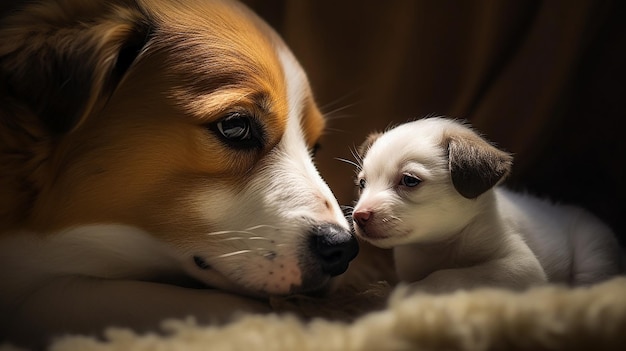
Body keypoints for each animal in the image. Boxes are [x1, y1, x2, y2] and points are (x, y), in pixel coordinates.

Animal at [348, 117, 620, 294]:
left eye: (409, 180)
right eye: (362, 183)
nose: (359, 216)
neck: (439, 245)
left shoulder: (521, 266)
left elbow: (452, 274)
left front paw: (415, 290)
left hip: (593, 251)